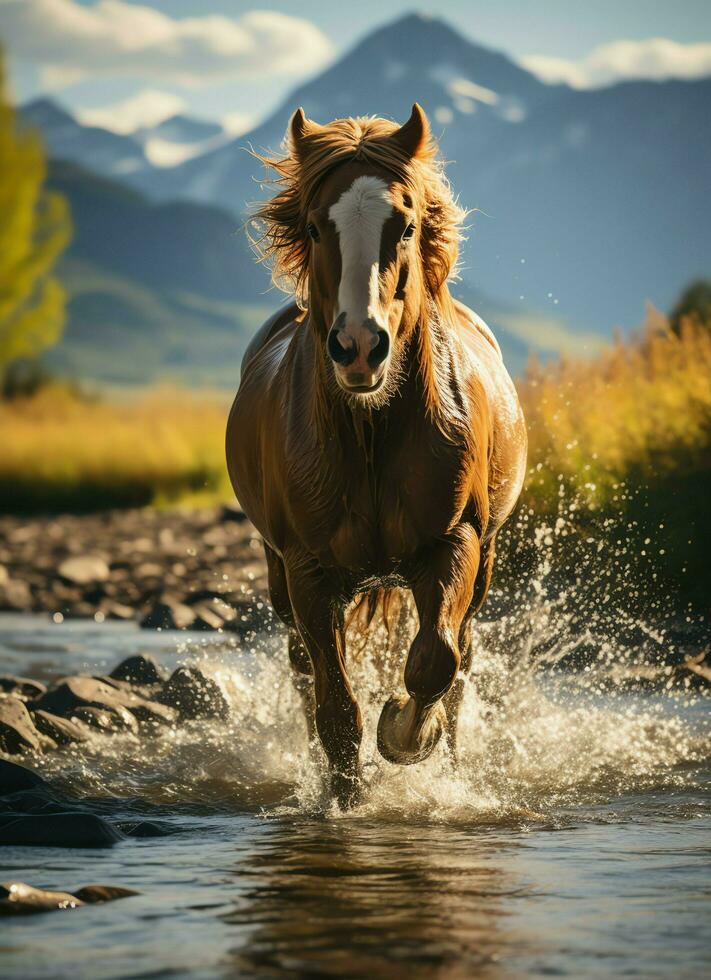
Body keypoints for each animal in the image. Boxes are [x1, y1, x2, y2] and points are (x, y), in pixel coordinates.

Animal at [228, 103, 528, 808]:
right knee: (304, 674)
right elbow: (337, 708)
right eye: (315, 226)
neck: (371, 436)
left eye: (407, 224)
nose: (359, 347)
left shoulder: (454, 544)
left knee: (462, 658)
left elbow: (434, 661)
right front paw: (346, 803)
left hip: (483, 562)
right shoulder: (308, 572)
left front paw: (404, 736)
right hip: (279, 575)